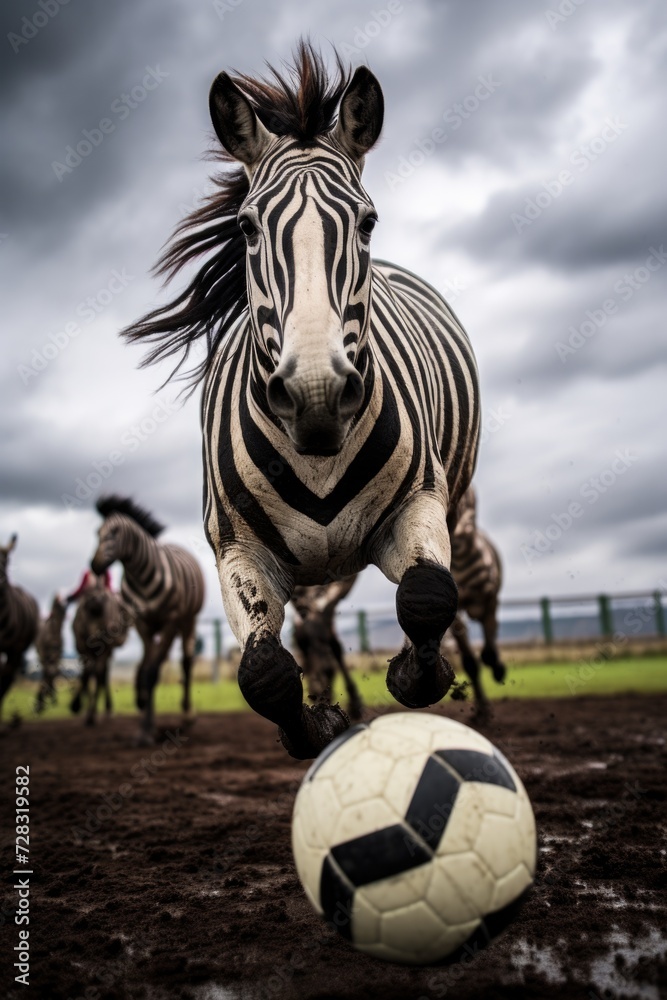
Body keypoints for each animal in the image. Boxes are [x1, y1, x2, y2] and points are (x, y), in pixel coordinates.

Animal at [88, 498, 205, 744]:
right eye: (97, 532)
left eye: (114, 532)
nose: (94, 565)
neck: (140, 577)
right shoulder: (142, 623)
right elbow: (148, 668)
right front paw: (144, 727)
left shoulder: (170, 621)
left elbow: (152, 673)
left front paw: (147, 730)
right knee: (149, 662)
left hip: (187, 621)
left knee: (185, 663)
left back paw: (188, 715)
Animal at [448, 488, 506, 716]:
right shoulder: (454, 611)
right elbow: (471, 663)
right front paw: (482, 712)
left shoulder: (490, 600)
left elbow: (488, 652)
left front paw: (499, 670)